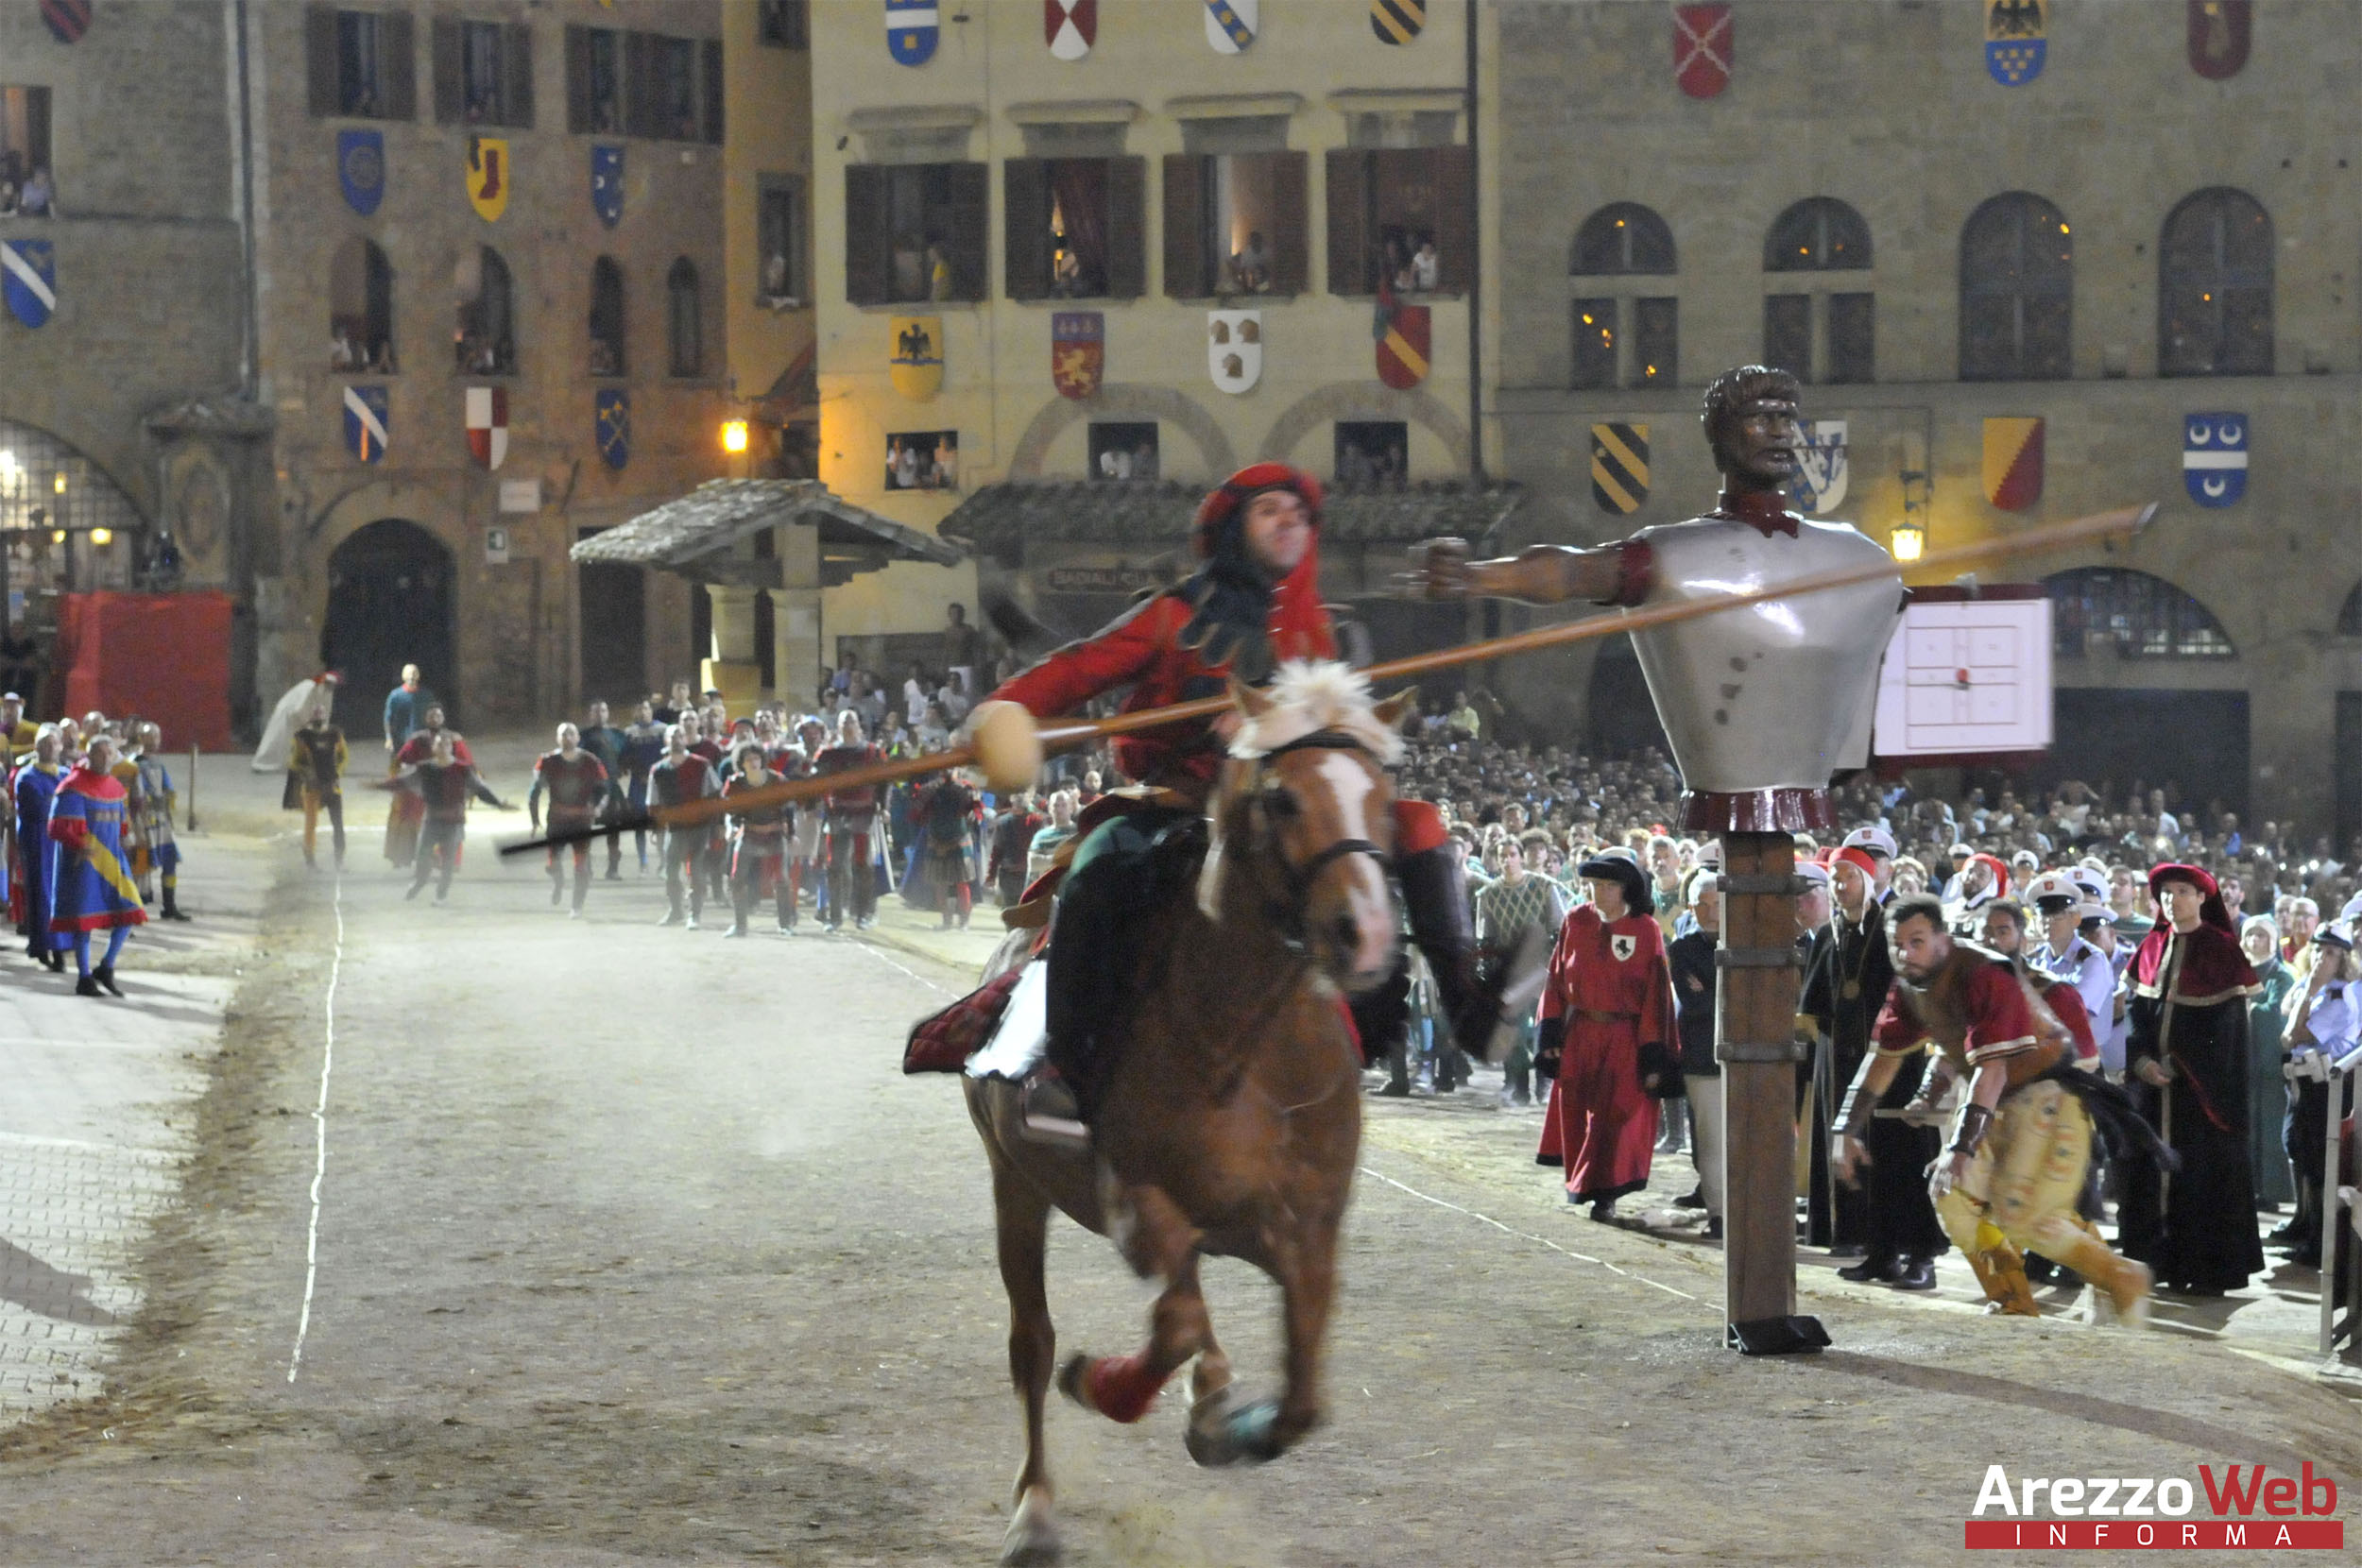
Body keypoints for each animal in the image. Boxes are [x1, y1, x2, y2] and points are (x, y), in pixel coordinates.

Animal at [962, 663, 1411, 1566]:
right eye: (1283, 799)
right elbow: (1167, 1327)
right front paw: (1105, 1386)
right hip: (1014, 1183)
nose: (1368, 934)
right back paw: (1035, 1510)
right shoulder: (1136, 1204)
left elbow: (1302, 1398)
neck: (1241, 1047)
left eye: (1382, 793)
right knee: (1035, 1342)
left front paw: (1226, 1422)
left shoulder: (1305, 1234)